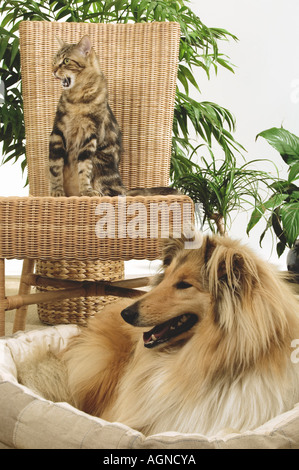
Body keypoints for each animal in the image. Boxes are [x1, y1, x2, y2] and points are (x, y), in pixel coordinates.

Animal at [49, 35, 178, 197]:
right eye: (54, 60)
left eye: (66, 61)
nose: (53, 70)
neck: (78, 98)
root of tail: (123, 186)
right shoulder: (58, 132)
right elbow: (55, 168)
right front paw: (56, 191)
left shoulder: (90, 136)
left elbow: (84, 169)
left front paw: (86, 191)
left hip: (99, 159)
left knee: (113, 193)